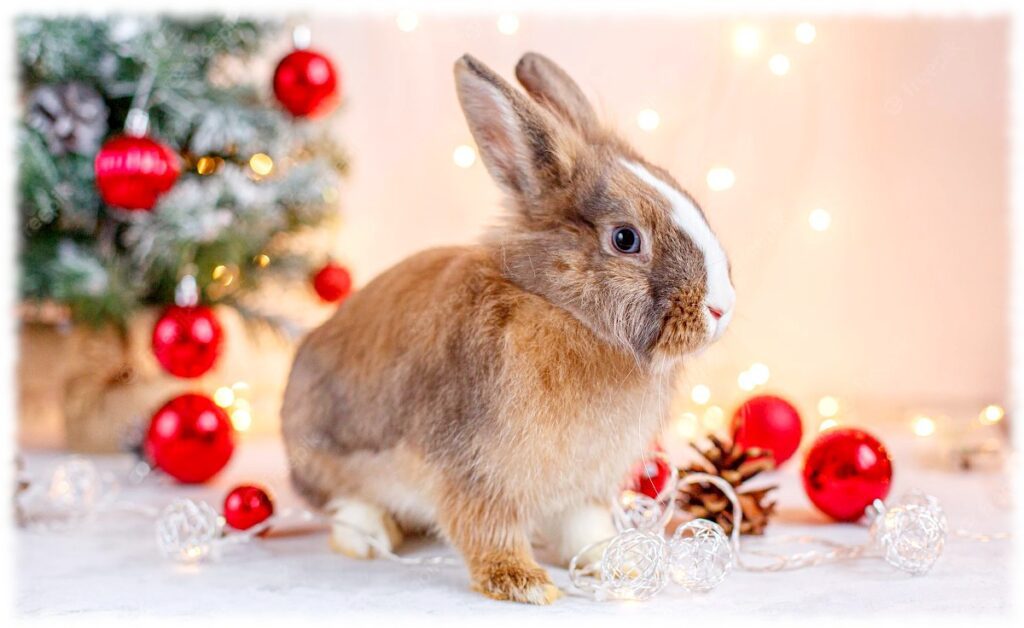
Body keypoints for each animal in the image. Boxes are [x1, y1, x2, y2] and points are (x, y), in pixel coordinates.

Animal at [281, 52, 735, 604]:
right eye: (626, 239)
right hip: (331, 455)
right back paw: (370, 537)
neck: (560, 310)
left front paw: (618, 563)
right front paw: (524, 583)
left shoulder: (582, 486)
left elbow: (585, 528)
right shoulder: (473, 469)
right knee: (344, 505)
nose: (721, 308)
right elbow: (485, 529)